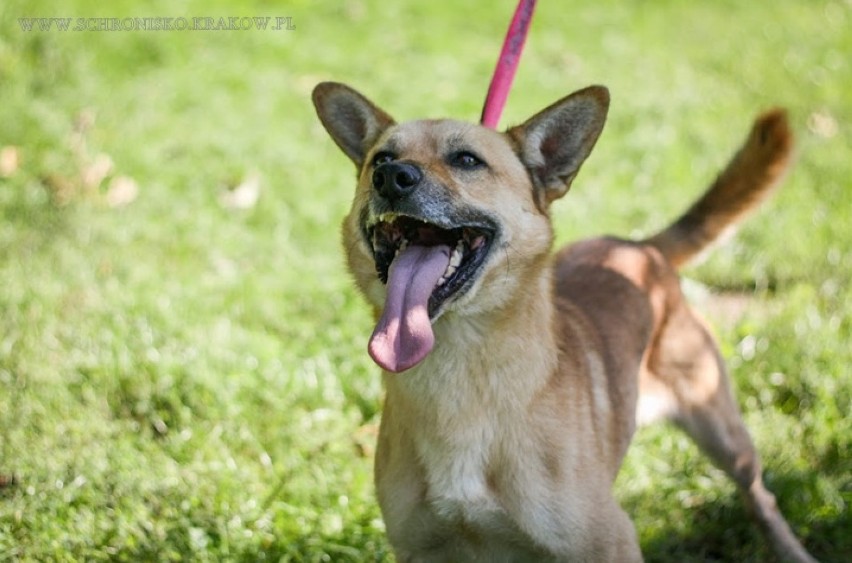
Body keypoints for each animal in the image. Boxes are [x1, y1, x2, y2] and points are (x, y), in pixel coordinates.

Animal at [310, 80, 816, 563]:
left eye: (467, 160)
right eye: (381, 158)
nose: (391, 178)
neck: (457, 373)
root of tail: (639, 247)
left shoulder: (612, 542)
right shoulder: (421, 549)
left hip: (724, 431)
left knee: (760, 497)